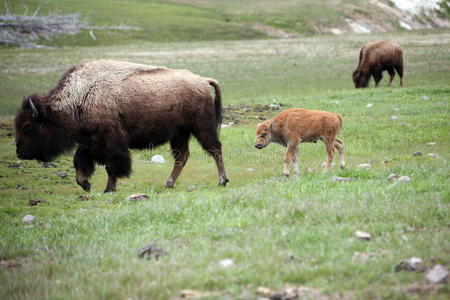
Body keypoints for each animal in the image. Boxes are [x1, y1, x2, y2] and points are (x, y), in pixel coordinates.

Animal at [14, 59, 229, 192]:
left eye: (28, 126)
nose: (20, 152)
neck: (82, 96)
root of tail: (202, 80)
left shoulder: (112, 142)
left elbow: (112, 166)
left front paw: (108, 189)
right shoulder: (89, 142)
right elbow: (80, 162)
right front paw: (85, 185)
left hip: (202, 127)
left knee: (215, 149)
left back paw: (222, 180)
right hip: (179, 133)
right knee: (181, 156)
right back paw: (168, 183)